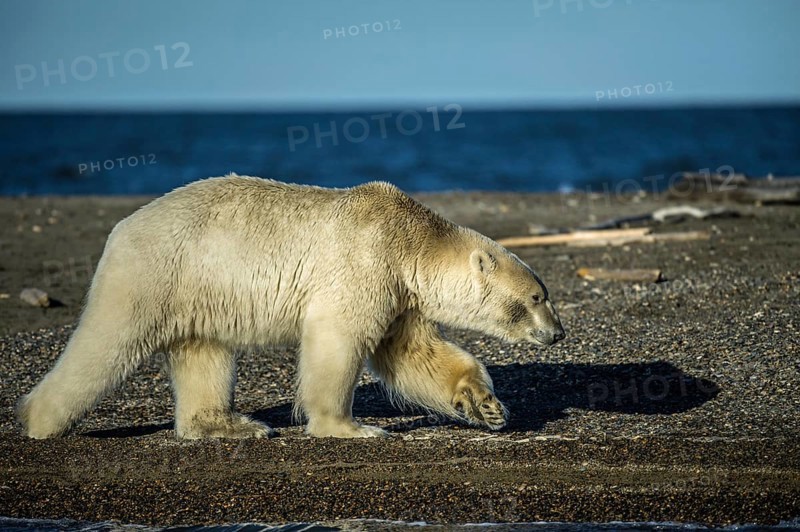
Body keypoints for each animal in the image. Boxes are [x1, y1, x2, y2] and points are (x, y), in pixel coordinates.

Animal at [18, 175, 565, 439]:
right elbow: (338, 340)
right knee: (107, 341)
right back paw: (40, 420)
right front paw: (351, 427)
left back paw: (229, 426)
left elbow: (412, 354)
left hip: (201, 290)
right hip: (155, 273)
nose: (558, 333)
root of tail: (121, 228)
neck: (409, 239)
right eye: (536, 298)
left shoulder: (399, 293)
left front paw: (487, 405)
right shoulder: (364, 262)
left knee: (205, 353)